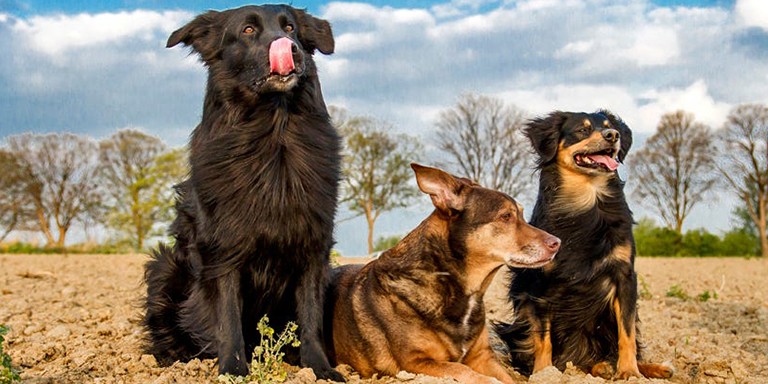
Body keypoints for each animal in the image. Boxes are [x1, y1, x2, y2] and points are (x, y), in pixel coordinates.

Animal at [146, 6, 344, 380]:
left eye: (291, 28)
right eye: (248, 30)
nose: (291, 49)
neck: (273, 133)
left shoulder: (313, 242)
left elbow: (310, 313)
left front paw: (319, 368)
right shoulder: (223, 250)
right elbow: (228, 316)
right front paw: (233, 369)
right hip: (164, 268)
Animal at [328, 164, 560, 382]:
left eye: (520, 213)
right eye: (505, 216)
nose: (557, 243)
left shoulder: (483, 356)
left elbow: (508, 377)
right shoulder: (415, 362)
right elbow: (463, 370)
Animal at [498, 110, 672, 378]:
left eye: (610, 127)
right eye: (582, 130)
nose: (613, 135)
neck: (585, 197)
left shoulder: (625, 276)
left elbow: (627, 332)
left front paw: (630, 372)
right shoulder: (539, 283)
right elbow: (542, 337)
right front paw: (544, 374)